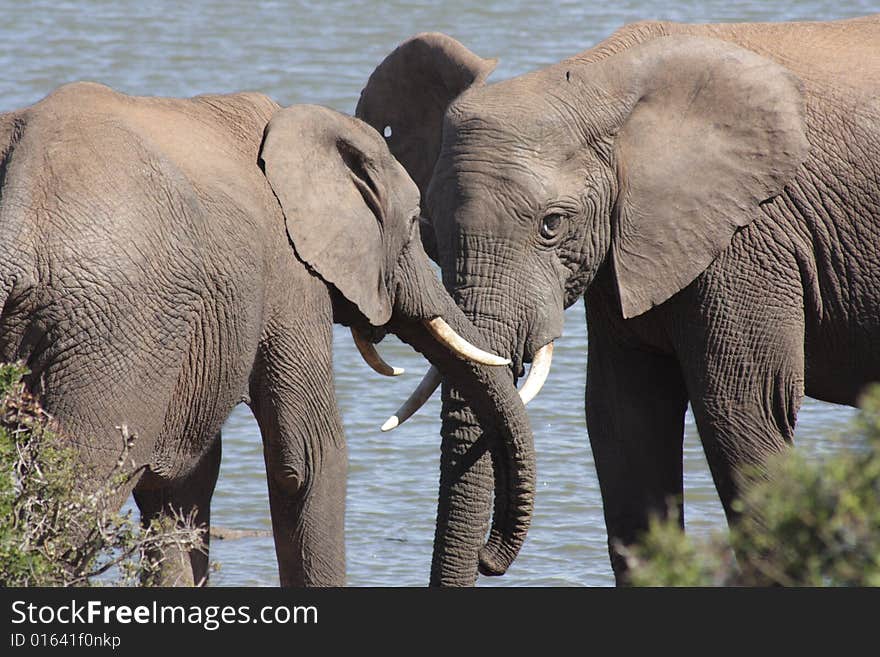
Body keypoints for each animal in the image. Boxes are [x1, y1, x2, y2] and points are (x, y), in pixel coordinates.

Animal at [0, 80, 536, 584]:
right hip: (115, 326)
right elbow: (312, 456)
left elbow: (181, 478)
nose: (490, 561)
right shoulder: (289, 272)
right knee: (80, 495)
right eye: (413, 225)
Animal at [358, 12, 880, 580]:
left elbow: (746, 413)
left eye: (552, 225)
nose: (488, 560)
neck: (600, 80)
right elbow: (623, 422)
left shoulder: (749, 241)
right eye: (429, 225)